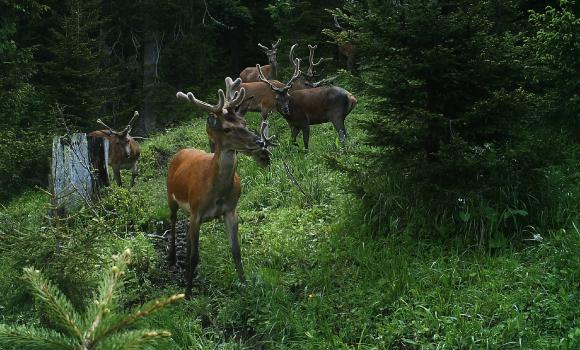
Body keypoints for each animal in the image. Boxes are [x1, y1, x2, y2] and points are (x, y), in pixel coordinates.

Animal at [168, 77, 276, 296]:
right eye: (227, 129)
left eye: (244, 123)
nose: (259, 141)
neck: (215, 193)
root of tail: (180, 152)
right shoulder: (197, 211)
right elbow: (195, 257)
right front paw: (188, 293)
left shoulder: (230, 210)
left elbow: (236, 250)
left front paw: (244, 283)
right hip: (170, 195)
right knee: (173, 222)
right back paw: (173, 257)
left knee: (188, 239)